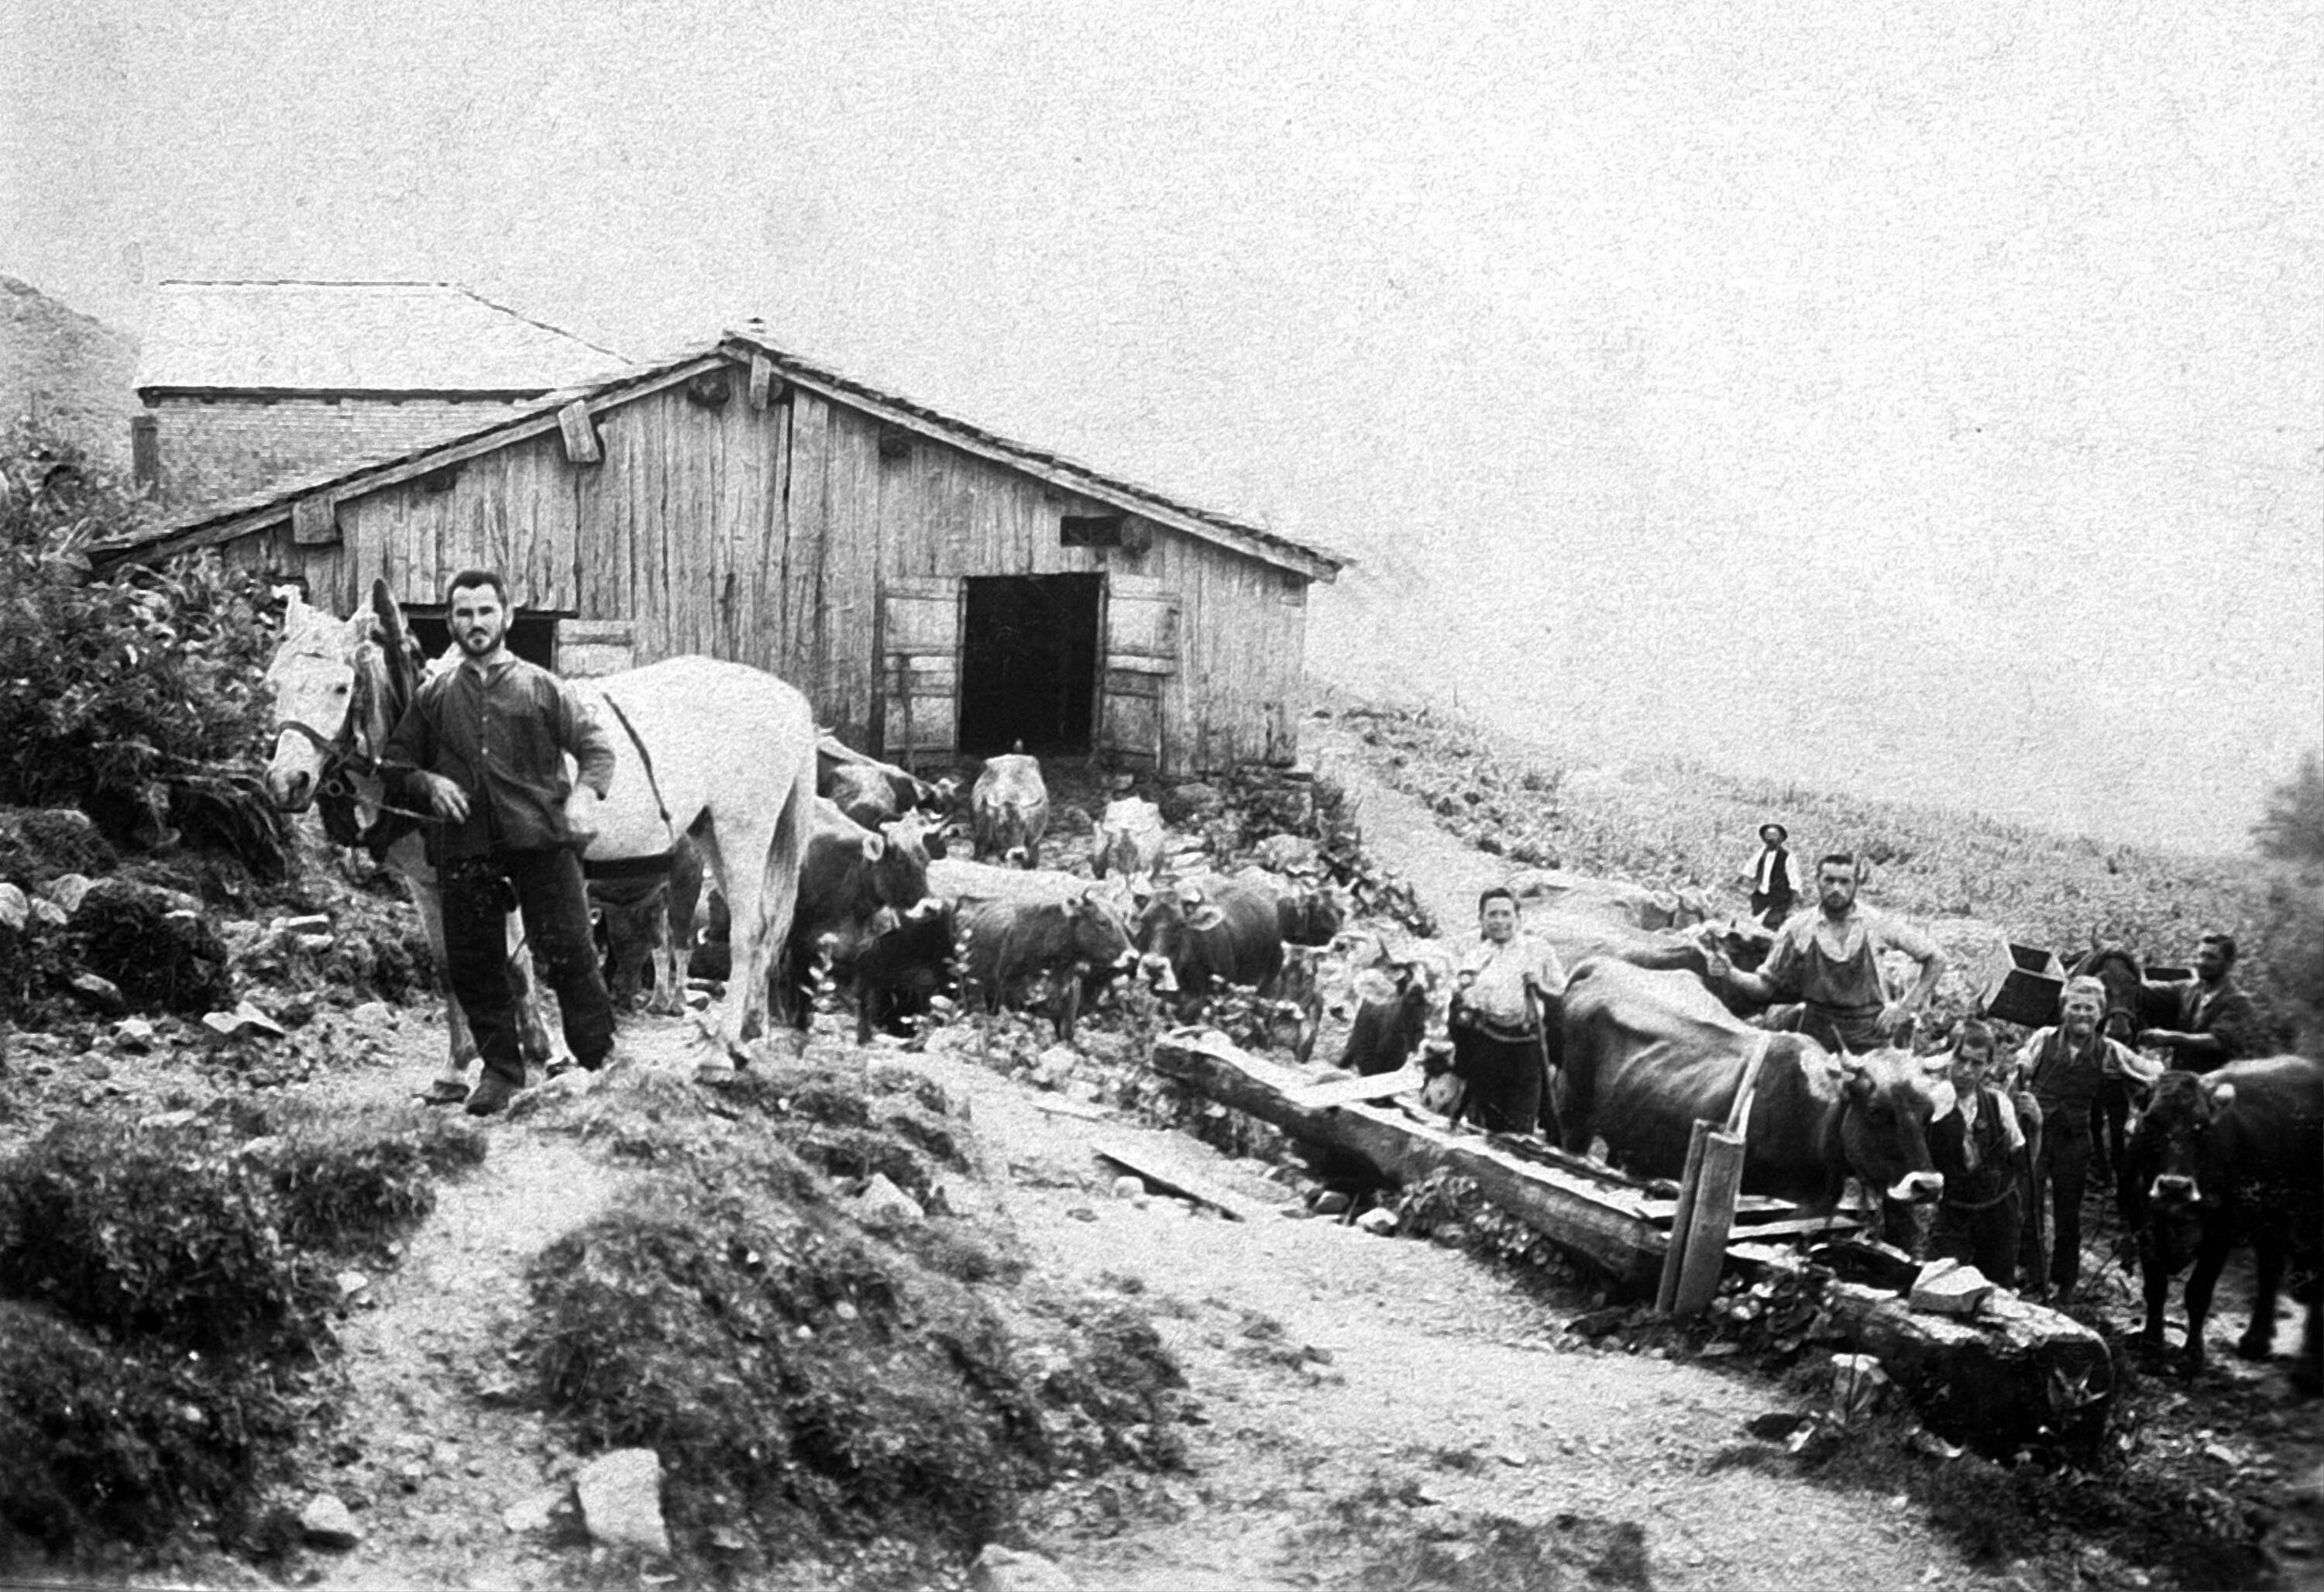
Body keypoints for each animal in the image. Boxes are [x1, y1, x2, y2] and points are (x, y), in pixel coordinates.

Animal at [263, 580, 820, 1078]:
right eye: (275, 685)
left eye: (341, 686)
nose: (288, 782)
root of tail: (790, 699)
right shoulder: (427, 881)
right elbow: (448, 968)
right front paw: (456, 1067)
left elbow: (511, 964)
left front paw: (539, 1050)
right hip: (711, 835)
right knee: (766, 925)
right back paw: (749, 1033)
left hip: (743, 831)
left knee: (747, 933)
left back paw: (719, 1051)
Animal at [2117, 1056, 2323, 1386]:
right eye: (2151, 1121)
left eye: (2201, 1127)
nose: (2174, 1187)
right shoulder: (2141, 1227)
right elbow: (2156, 1288)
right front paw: (2151, 1350)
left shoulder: (2220, 1234)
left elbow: (2198, 1293)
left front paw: (2191, 1358)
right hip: (2272, 1220)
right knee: (2270, 1270)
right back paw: (2256, 1340)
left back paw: (2309, 1370)